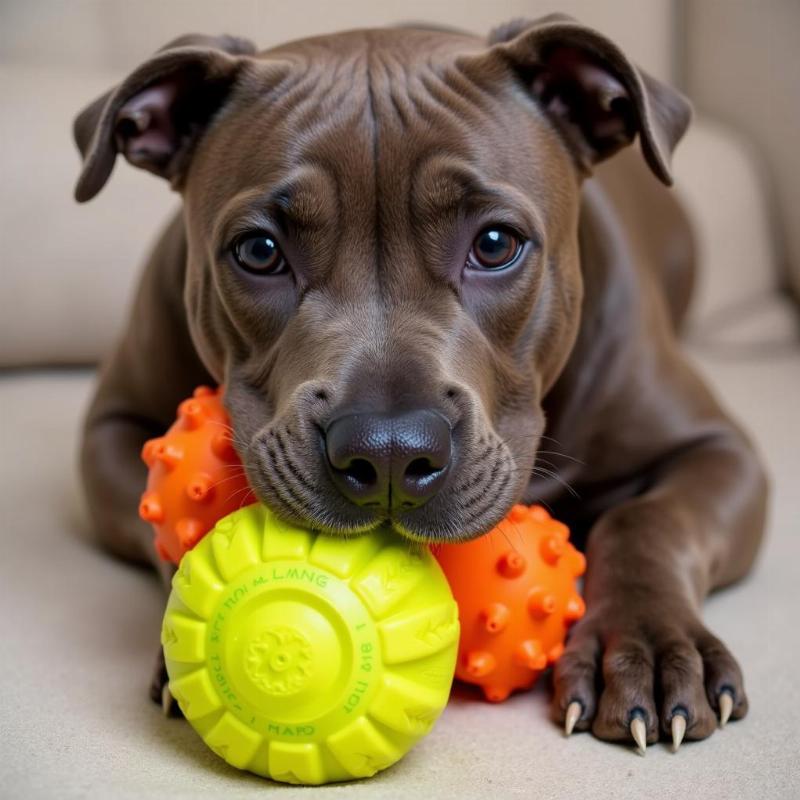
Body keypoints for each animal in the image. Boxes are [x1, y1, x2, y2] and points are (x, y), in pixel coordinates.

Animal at [75, 17, 768, 756]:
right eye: (259, 252)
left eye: (495, 244)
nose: (387, 452)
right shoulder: (110, 429)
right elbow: (161, 531)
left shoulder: (718, 450)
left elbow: (647, 521)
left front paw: (646, 643)